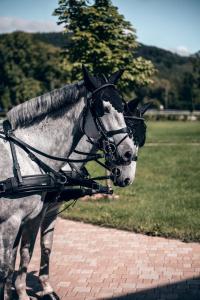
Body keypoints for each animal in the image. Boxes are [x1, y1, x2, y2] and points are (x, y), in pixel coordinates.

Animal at [0, 67, 136, 298]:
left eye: (122, 108)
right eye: (103, 109)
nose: (127, 154)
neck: (28, 155)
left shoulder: (35, 215)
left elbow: (32, 251)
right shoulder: (11, 221)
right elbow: (8, 265)